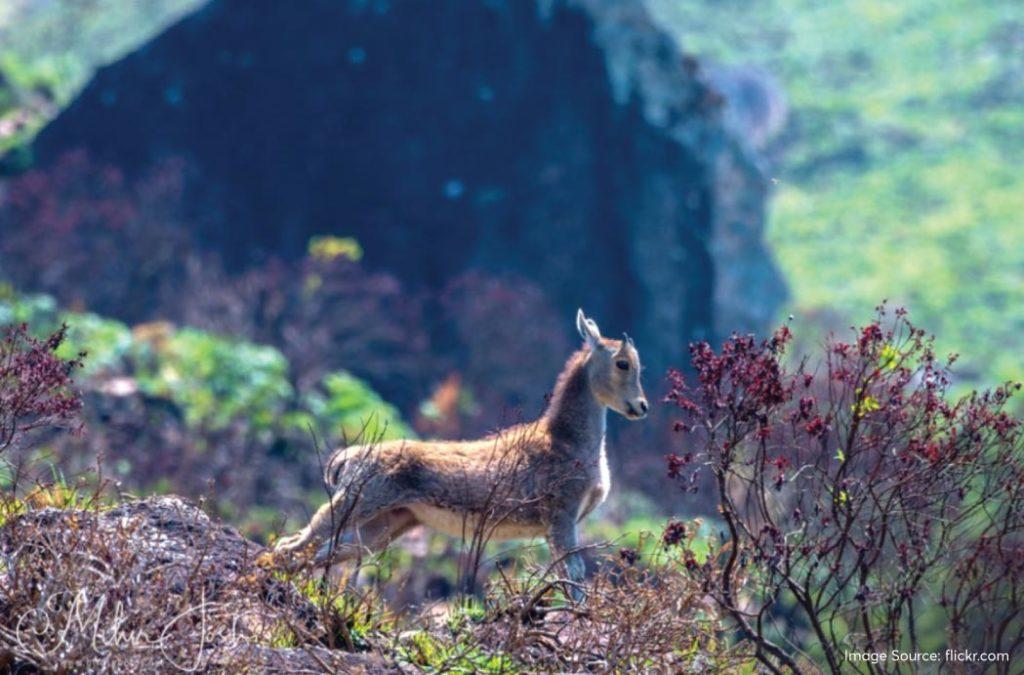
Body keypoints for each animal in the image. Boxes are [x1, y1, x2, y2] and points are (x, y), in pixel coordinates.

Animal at [278, 309, 647, 598]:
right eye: (622, 363)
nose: (641, 406)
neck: (566, 440)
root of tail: (344, 460)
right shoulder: (561, 515)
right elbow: (573, 577)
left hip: (383, 524)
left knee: (312, 549)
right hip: (356, 503)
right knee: (293, 544)